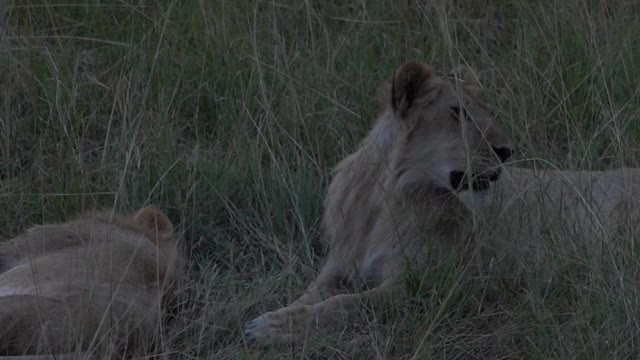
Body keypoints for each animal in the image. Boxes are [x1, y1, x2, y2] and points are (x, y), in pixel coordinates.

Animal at [242, 62, 640, 346]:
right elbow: (309, 295)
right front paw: (272, 315)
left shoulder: (424, 285)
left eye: (486, 110)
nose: (506, 150)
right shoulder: (338, 266)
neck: (387, 198)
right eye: (458, 112)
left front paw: (272, 328)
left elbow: (344, 305)